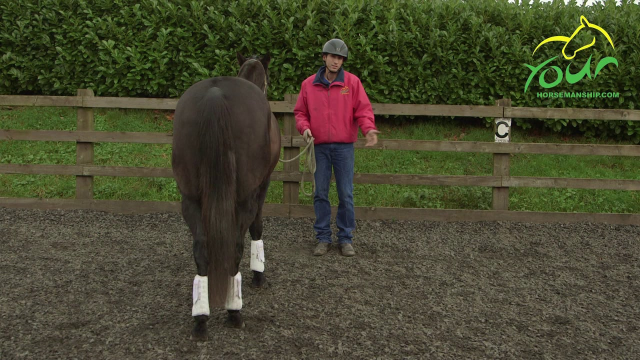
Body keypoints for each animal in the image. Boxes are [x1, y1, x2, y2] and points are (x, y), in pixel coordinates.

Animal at [170, 51, 280, 340]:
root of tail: (215, 95)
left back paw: (201, 318)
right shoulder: (262, 186)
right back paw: (234, 311)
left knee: (201, 248)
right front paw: (259, 276)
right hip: (243, 199)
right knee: (234, 247)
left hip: (190, 200)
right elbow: (257, 227)